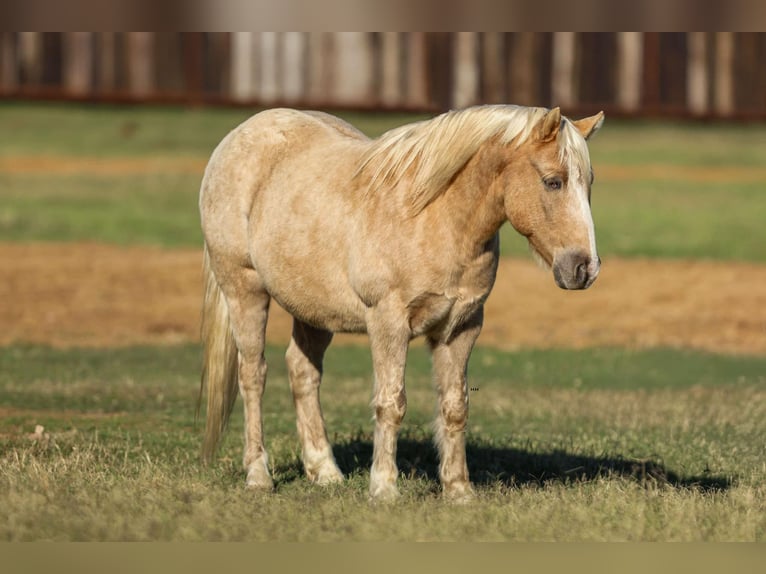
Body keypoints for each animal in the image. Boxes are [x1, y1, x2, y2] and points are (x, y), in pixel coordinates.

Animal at [198, 104, 604, 501]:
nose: (585, 268)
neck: (434, 217)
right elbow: (391, 403)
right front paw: (384, 489)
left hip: (313, 311)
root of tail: (239, 135)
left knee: (302, 372)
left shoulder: (461, 328)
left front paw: (459, 490)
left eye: (589, 183)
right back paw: (258, 475)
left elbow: (455, 406)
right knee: (253, 375)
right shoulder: (388, 323)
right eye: (553, 181)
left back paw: (324, 472)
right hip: (245, 291)